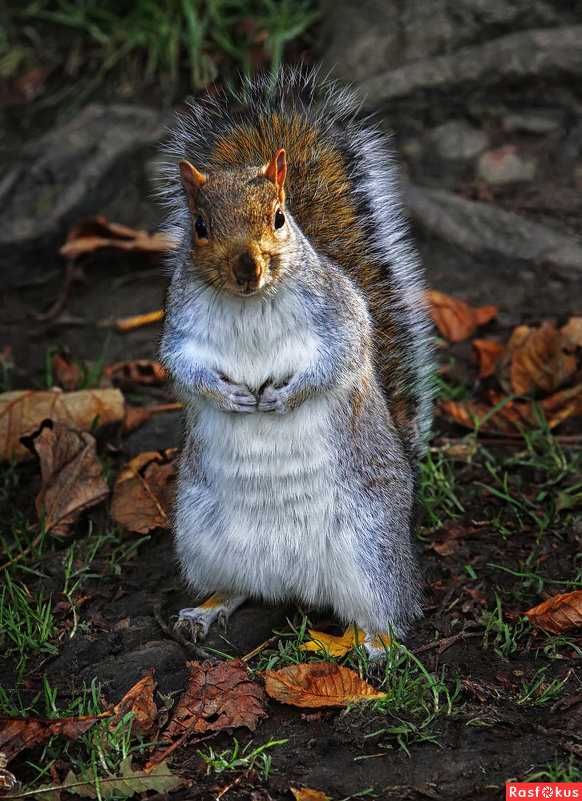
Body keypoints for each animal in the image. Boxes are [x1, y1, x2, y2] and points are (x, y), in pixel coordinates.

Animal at [159, 70, 434, 656]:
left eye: (280, 218)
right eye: (199, 226)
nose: (248, 268)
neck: (248, 303)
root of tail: (294, 582)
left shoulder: (339, 316)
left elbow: (337, 360)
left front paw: (283, 395)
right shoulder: (181, 331)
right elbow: (183, 370)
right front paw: (230, 395)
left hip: (369, 549)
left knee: (388, 611)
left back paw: (375, 645)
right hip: (200, 537)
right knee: (236, 587)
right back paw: (206, 610)